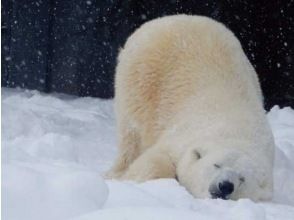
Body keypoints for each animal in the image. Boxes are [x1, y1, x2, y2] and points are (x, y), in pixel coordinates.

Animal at [107, 14, 274, 201]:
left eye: (242, 178)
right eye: (216, 165)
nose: (225, 185)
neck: (236, 131)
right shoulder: (182, 137)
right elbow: (158, 159)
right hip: (140, 79)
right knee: (132, 135)